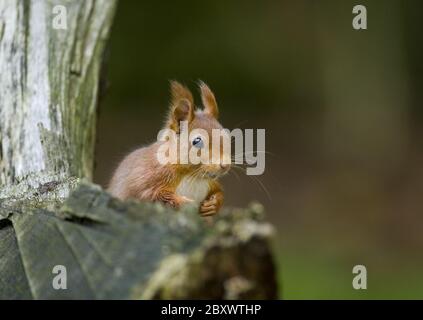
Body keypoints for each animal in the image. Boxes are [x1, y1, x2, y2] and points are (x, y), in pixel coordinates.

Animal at [107, 80, 230, 218]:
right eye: (197, 141)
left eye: (227, 135)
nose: (225, 165)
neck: (192, 175)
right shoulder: (143, 179)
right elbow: (151, 195)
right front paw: (184, 203)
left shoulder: (210, 183)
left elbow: (218, 191)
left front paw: (214, 204)